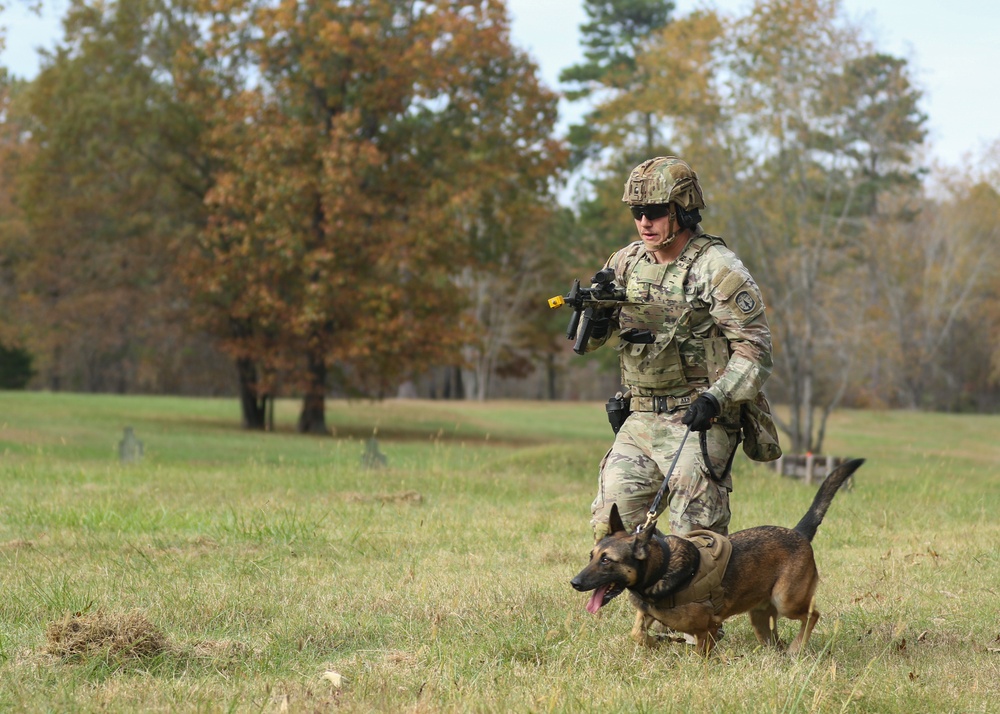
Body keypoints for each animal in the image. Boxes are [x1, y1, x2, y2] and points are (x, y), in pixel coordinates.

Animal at [576, 456, 864, 652]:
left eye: (607, 560)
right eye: (591, 556)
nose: (574, 582)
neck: (662, 566)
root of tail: (798, 533)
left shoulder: (708, 628)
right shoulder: (648, 616)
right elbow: (638, 634)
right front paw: (655, 643)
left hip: (787, 601)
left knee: (812, 615)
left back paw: (797, 648)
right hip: (760, 617)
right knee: (776, 641)